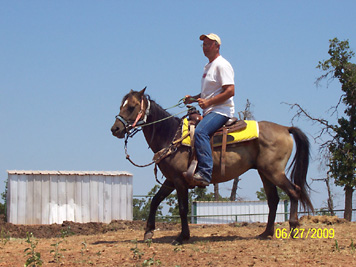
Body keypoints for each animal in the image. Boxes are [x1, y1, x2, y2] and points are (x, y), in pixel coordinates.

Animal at [110, 88, 312, 245]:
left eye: (131, 106)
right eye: (121, 105)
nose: (115, 129)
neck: (171, 135)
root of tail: (285, 128)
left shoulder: (180, 180)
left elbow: (182, 209)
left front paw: (182, 237)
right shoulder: (170, 180)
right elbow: (155, 201)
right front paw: (148, 232)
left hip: (274, 172)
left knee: (294, 191)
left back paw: (293, 228)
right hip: (265, 173)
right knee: (273, 200)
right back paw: (266, 233)